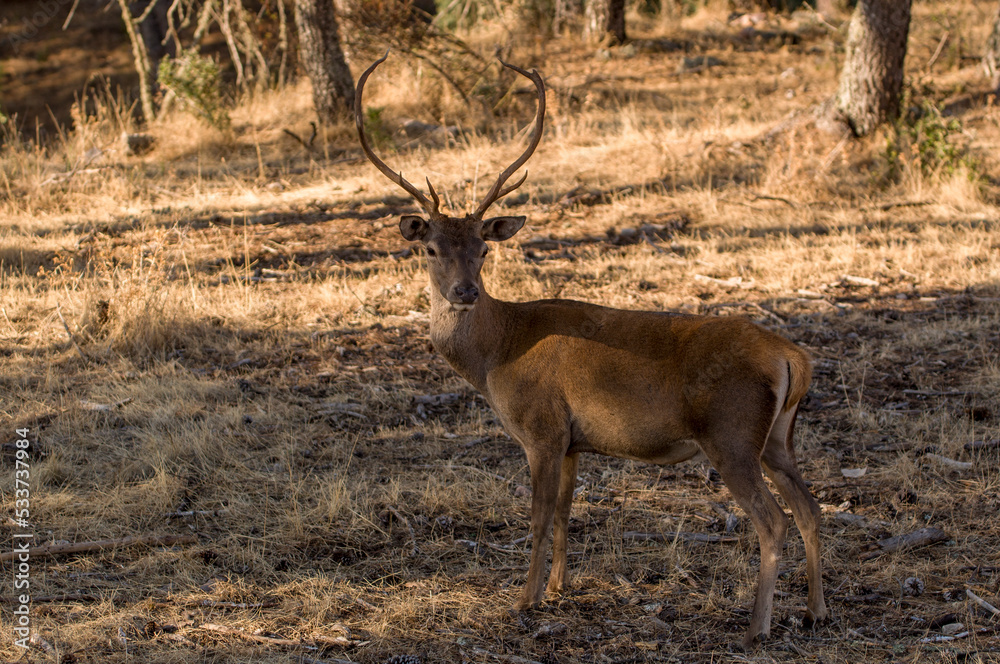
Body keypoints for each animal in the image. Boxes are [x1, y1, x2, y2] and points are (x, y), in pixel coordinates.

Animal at [354, 52, 829, 648]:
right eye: (432, 248)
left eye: (484, 248)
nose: (464, 292)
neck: (496, 355)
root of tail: (794, 359)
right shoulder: (574, 441)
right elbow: (566, 511)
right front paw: (559, 587)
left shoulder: (541, 427)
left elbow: (537, 516)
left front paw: (525, 598)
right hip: (780, 437)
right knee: (811, 509)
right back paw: (814, 611)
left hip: (732, 435)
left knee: (773, 520)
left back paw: (757, 627)